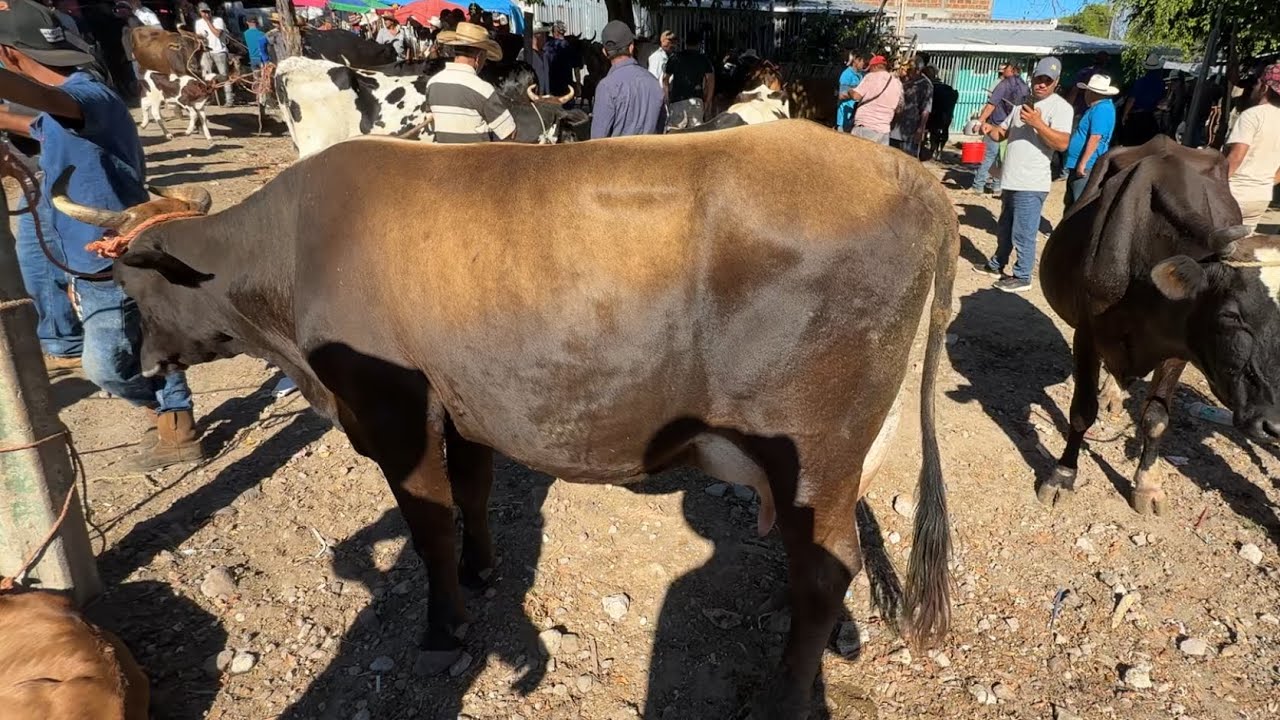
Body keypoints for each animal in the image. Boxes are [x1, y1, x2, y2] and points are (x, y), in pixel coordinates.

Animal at [51, 120, 956, 718]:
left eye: (132, 283)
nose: (143, 364)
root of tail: (912, 177)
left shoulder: (392, 408)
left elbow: (429, 523)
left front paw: (446, 624)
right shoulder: (463, 405)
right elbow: (476, 494)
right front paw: (484, 572)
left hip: (815, 449)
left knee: (824, 570)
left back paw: (784, 698)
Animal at [1038, 136, 1276, 515]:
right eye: (1231, 315)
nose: (1273, 425)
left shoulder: (1178, 347)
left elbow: (1156, 418)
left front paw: (1147, 485)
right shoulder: (1086, 334)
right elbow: (1081, 412)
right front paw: (1063, 475)